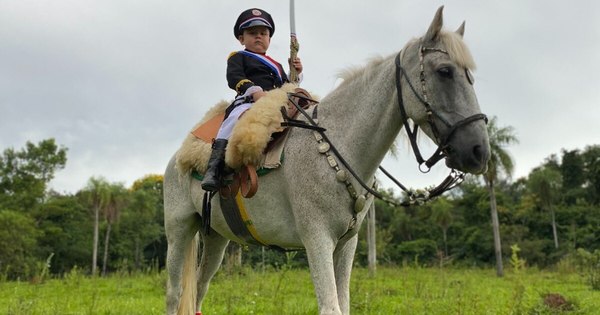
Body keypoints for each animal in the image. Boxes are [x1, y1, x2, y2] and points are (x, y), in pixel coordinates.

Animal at [163, 6, 488, 314]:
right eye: (445, 71)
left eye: (471, 75)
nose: (479, 151)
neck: (335, 149)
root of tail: (178, 157)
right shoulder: (316, 238)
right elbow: (330, 306)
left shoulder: (347, 243)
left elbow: (343, 304)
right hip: (179, 230)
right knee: (174, 294)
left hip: (217, 237)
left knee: (199, 290)